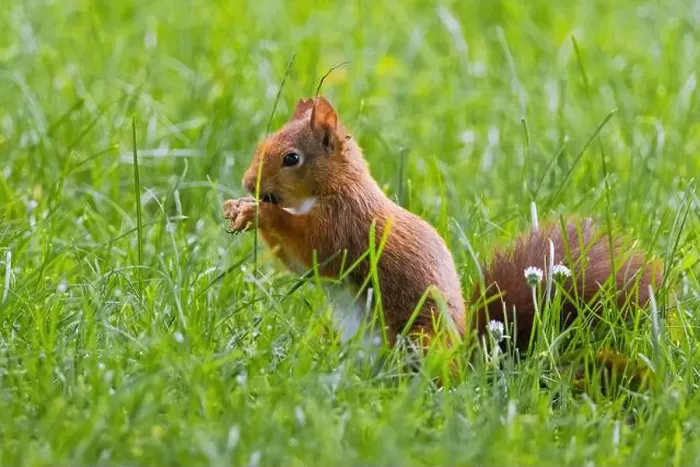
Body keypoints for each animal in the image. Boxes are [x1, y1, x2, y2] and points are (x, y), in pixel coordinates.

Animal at [223, 96, 663, 363]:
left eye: (291, 158)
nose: (248, 183)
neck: (335, 186)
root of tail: (468, 364)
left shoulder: (346, 225)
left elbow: (313, 248)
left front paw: (262, 213)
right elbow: (297, 263)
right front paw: (241, 210)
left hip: (420, 337)